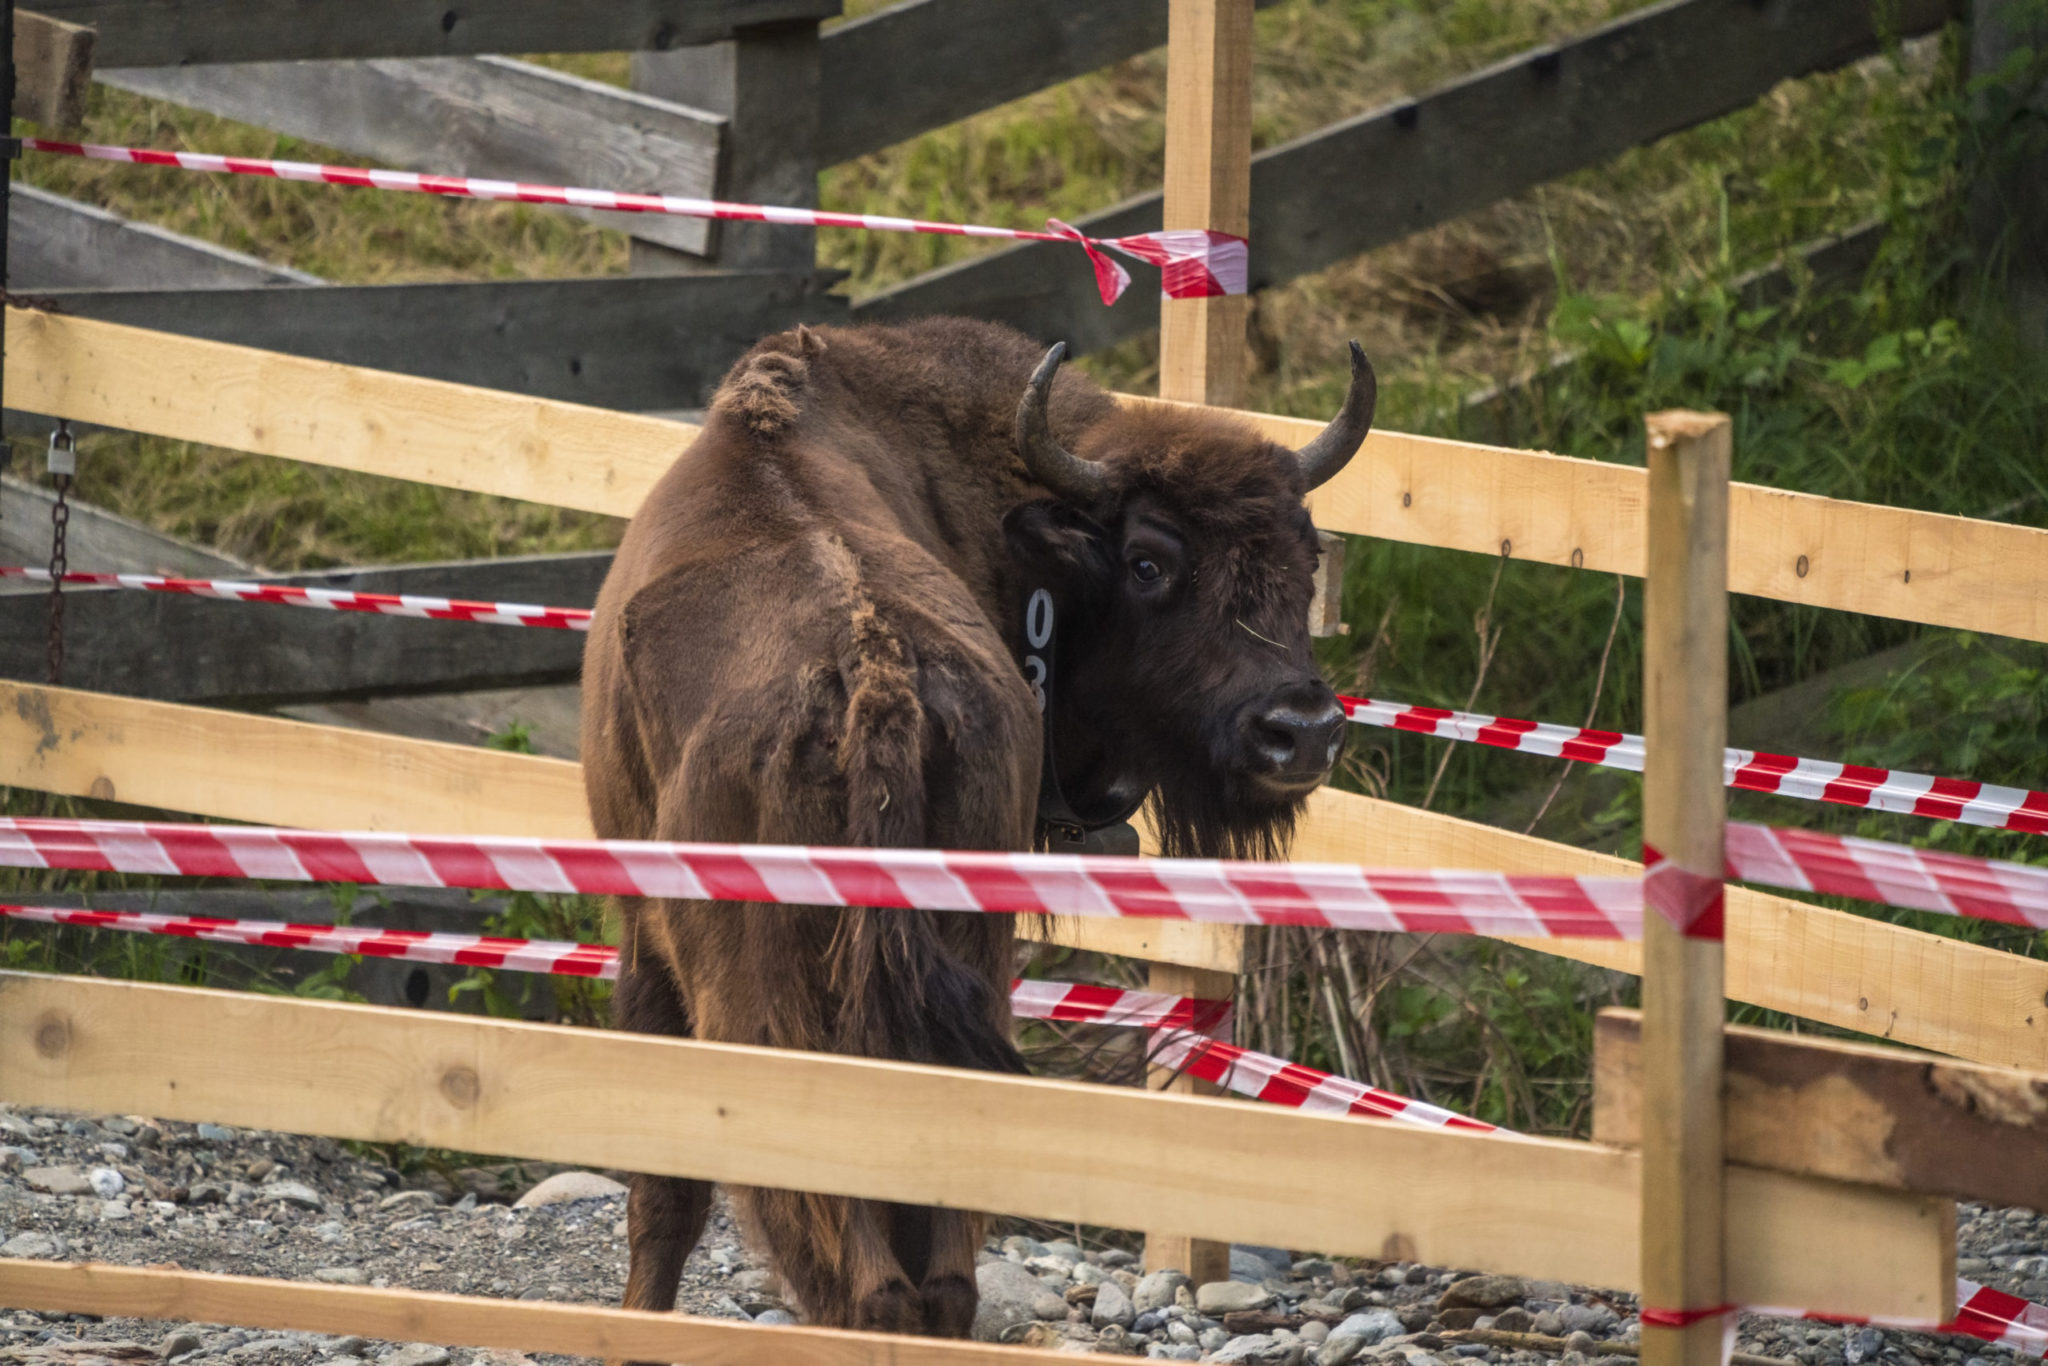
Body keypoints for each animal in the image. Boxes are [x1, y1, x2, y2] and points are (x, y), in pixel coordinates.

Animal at [581, 316, 1375, 1338]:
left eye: (1303, 557)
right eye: (1149, 562)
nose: (1301, 731)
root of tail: (875, 669)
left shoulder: (643, 933)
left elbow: (664, 1195)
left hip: (769, 1005)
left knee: (841, 1253)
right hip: (963, 965)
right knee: (943, 1262)